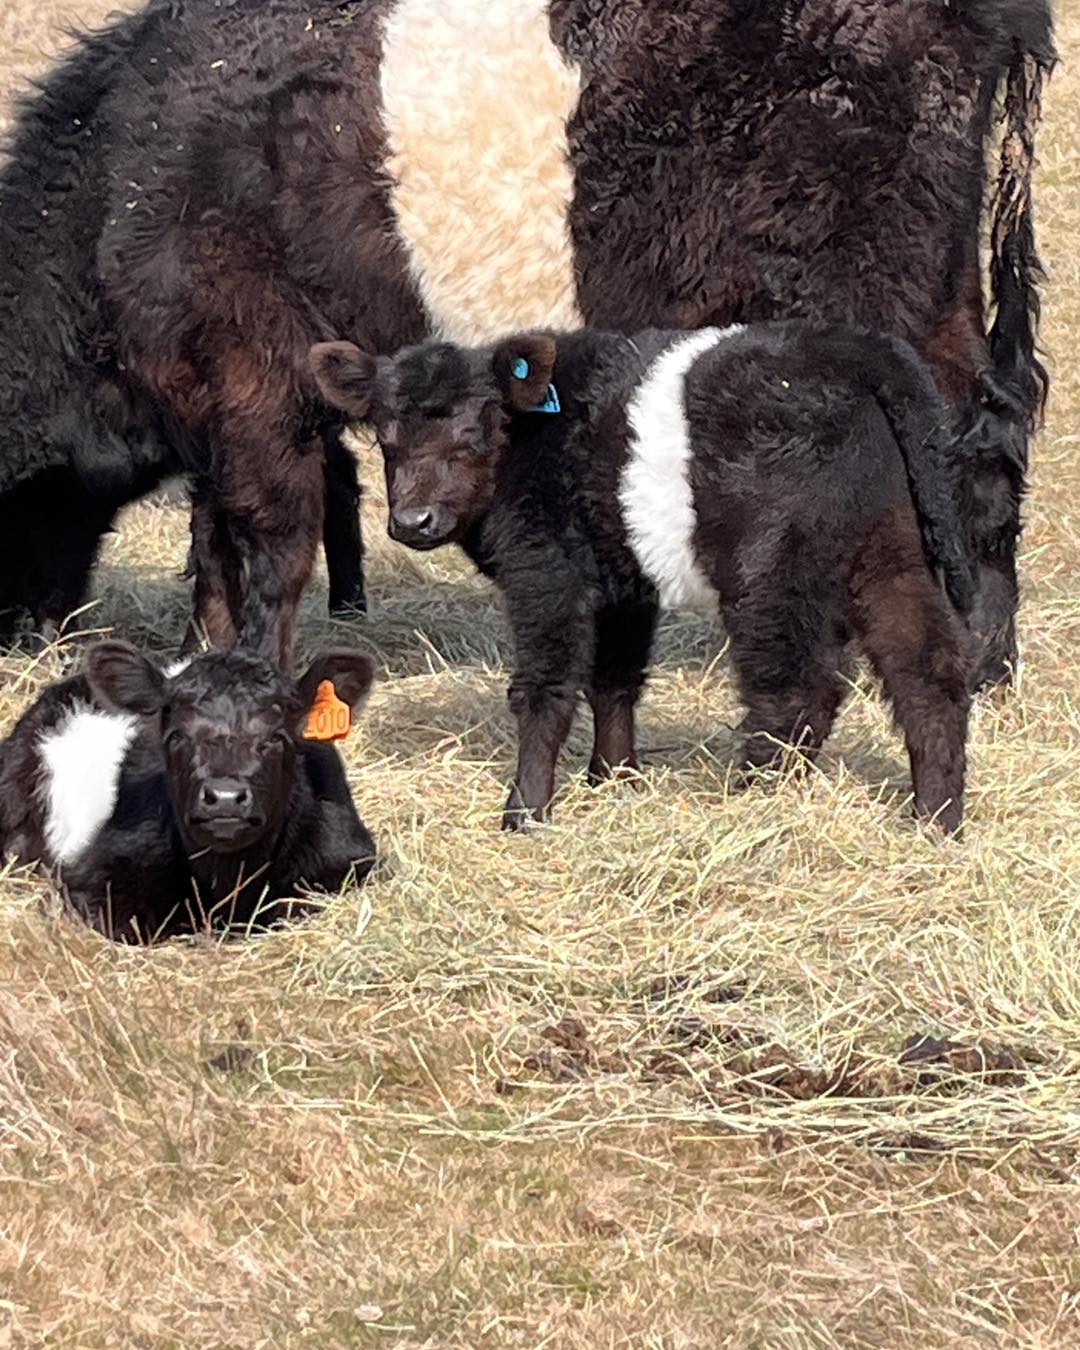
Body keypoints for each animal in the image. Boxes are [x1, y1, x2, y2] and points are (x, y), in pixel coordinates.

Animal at [0, 0, 1053, 675]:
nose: (17, 644)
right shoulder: (226, 405)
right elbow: (215, 540)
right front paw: (197, 661)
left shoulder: (253, 379)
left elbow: (268, 537)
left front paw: (252, 675)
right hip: (936, 295)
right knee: (989, 439)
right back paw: (980, 652)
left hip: (875, 300)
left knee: (949, 455)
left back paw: (957, 655)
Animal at [311, 322, 977, 837]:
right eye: (386, 439)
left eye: (472, 434)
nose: (412, 521)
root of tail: (845, 345)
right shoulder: (623, 585)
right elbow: (614, 680)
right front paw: (613, 778)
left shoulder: (546, 570)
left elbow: (545, 688)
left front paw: (525, 811)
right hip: (892, 557)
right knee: (928, 676)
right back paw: (933, 820)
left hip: (769, 572)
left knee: (795, 691)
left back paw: (754, 803)